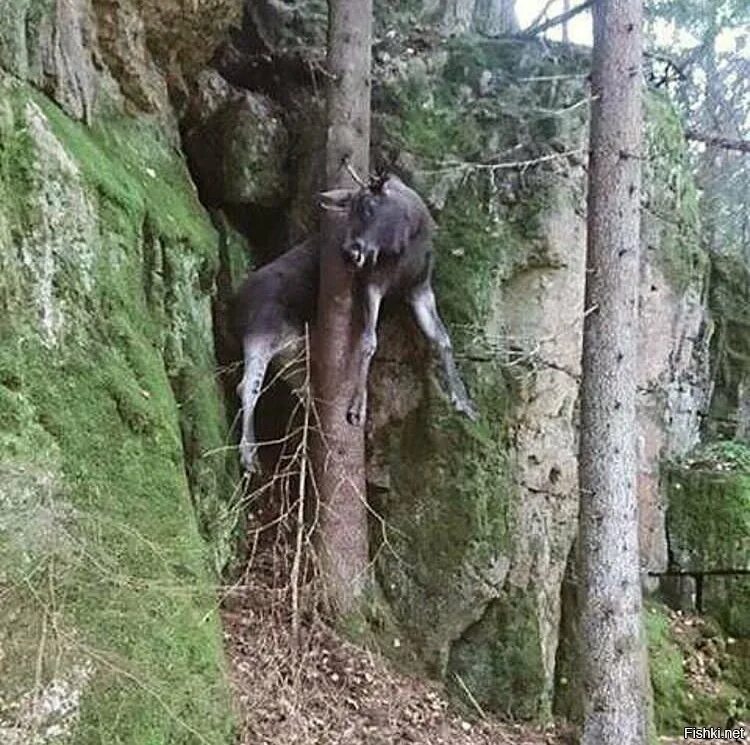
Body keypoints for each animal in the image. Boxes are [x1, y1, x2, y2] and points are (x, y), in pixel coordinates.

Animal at [232, 173, 478, 470]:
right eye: (350, 210)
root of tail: (234, 306)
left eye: (369, 206)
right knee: (247, 386)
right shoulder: (373, 283)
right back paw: (249, 454)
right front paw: (357, 408)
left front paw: (463, 400)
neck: (411, 238)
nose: (351, 252)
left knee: (303, 391)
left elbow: (442, 338)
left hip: (291, 354)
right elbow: (369, 342)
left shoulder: (419, 287)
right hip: (261, 333)